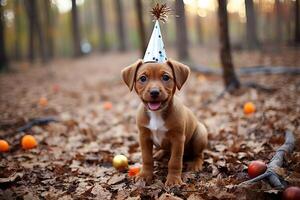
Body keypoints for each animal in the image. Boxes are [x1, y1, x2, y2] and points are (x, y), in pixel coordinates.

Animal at [120, 58, 207, 187]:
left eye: (166, 77)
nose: (154, 92)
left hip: (200, 134)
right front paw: (145, 175)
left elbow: (175, 161)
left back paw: (196, 164)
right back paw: (159, 153)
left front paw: (174, 179)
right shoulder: (144, 137)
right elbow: (147, 158)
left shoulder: (178, 139)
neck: (157, 113)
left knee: (199, 154)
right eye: (143, 78)